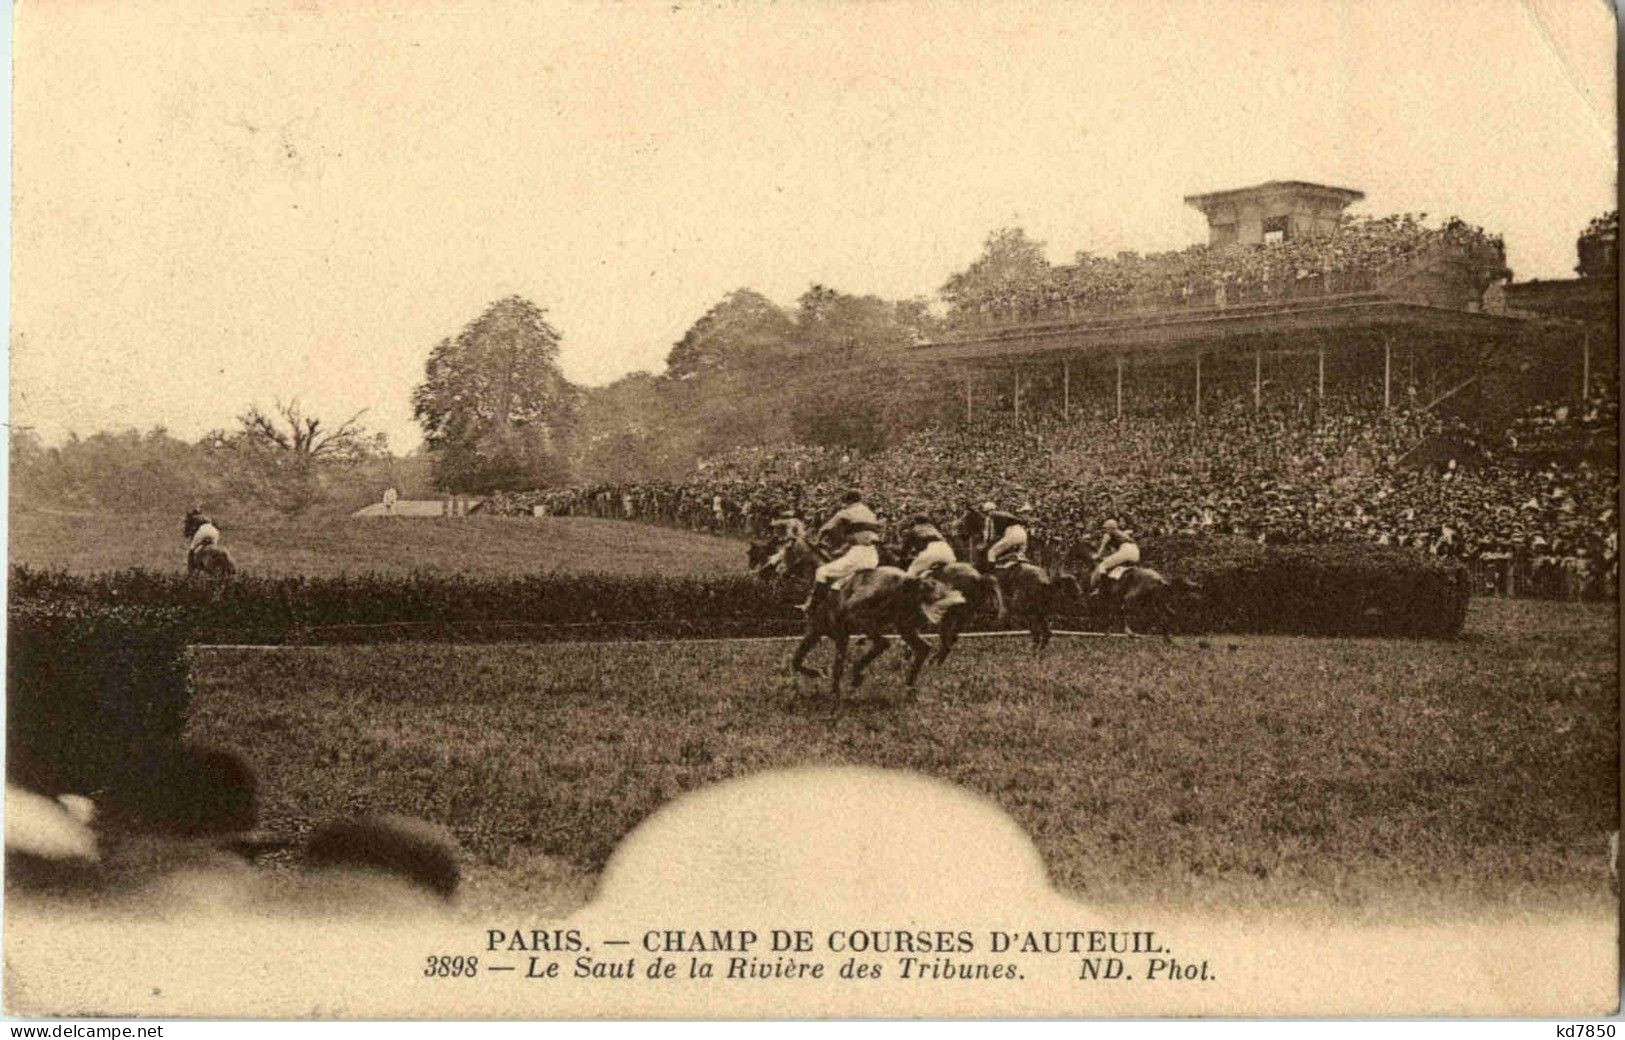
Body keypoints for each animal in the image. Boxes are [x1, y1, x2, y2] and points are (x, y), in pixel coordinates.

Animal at [793, 565, 968, 702]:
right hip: (903, 627)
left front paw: (830, 688)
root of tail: (910, 580)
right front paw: (829, 687)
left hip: (861, 617)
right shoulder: (821, 634)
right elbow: (801, 660)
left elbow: (828, 665)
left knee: (883, 643)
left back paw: (858, 674)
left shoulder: (834, 634)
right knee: (923, 648)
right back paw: (909, 688)